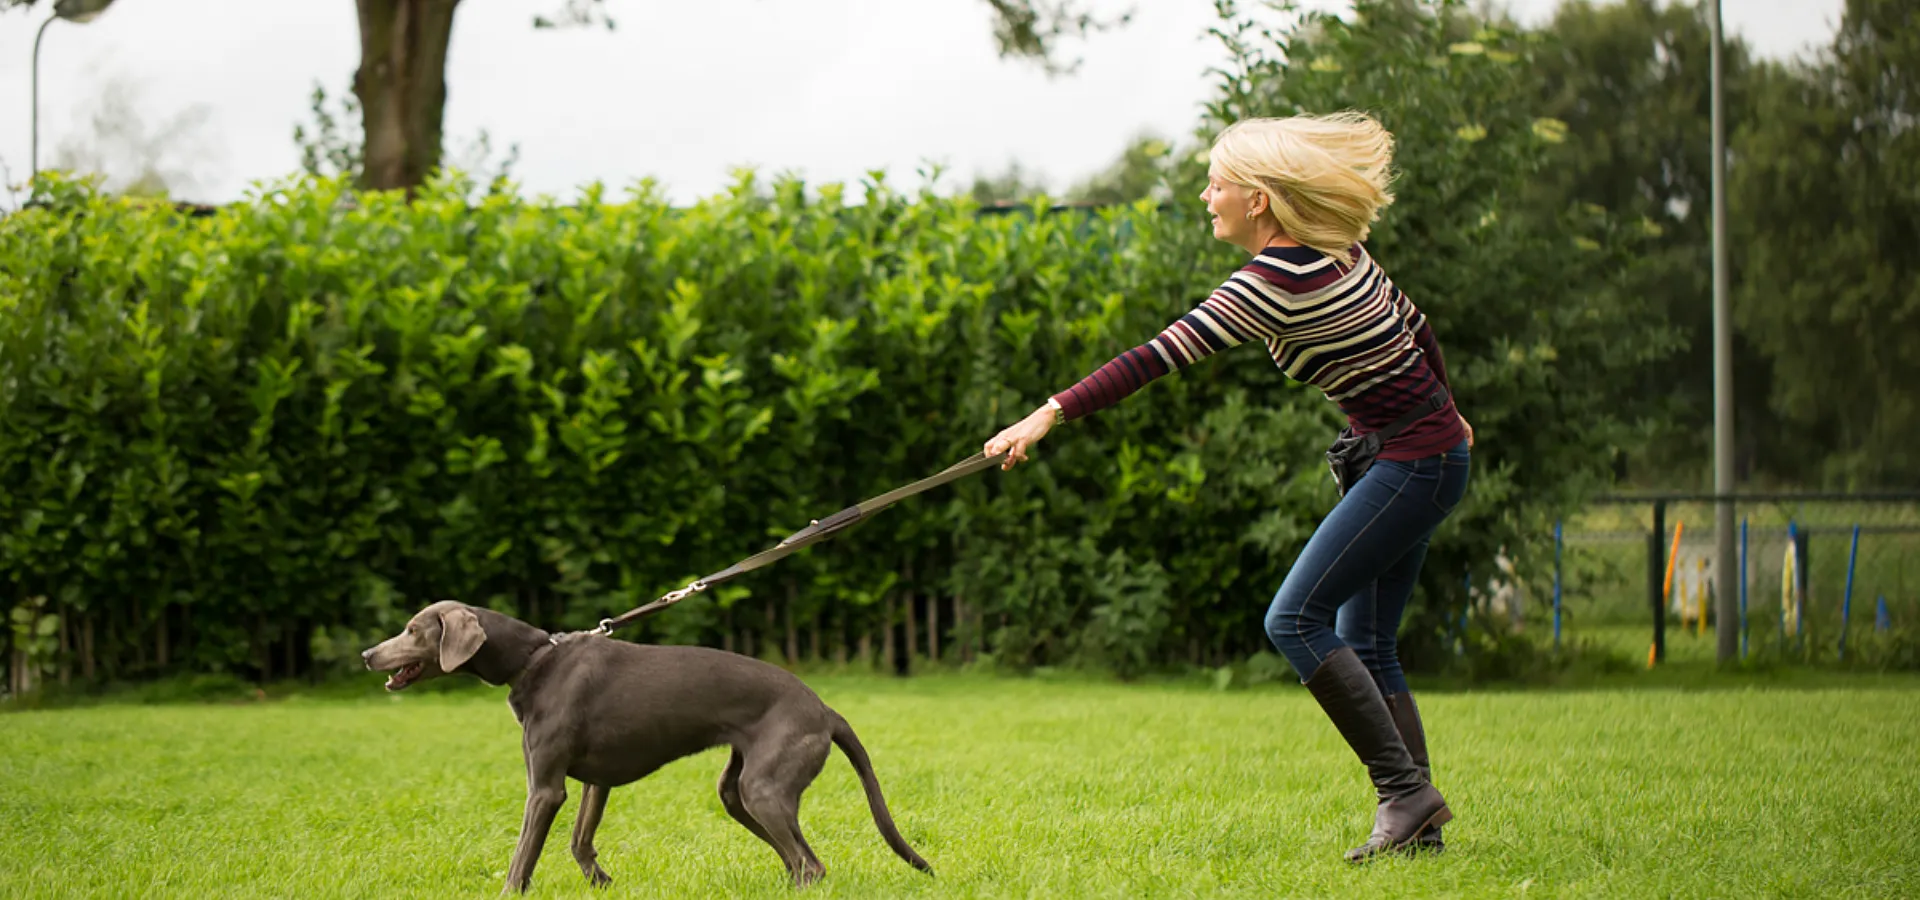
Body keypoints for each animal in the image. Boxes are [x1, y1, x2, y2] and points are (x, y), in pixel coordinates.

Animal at [362, 598, 933, 886]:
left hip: (766, 788)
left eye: (412, 629)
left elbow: (523, 857)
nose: (368, 654)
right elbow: (579, 841)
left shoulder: (545, 788)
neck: (533, 660)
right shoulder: (594, 781)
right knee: (801, 862)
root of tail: (826, 710)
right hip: (739, 790)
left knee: (809, 864)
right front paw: (601, 883)